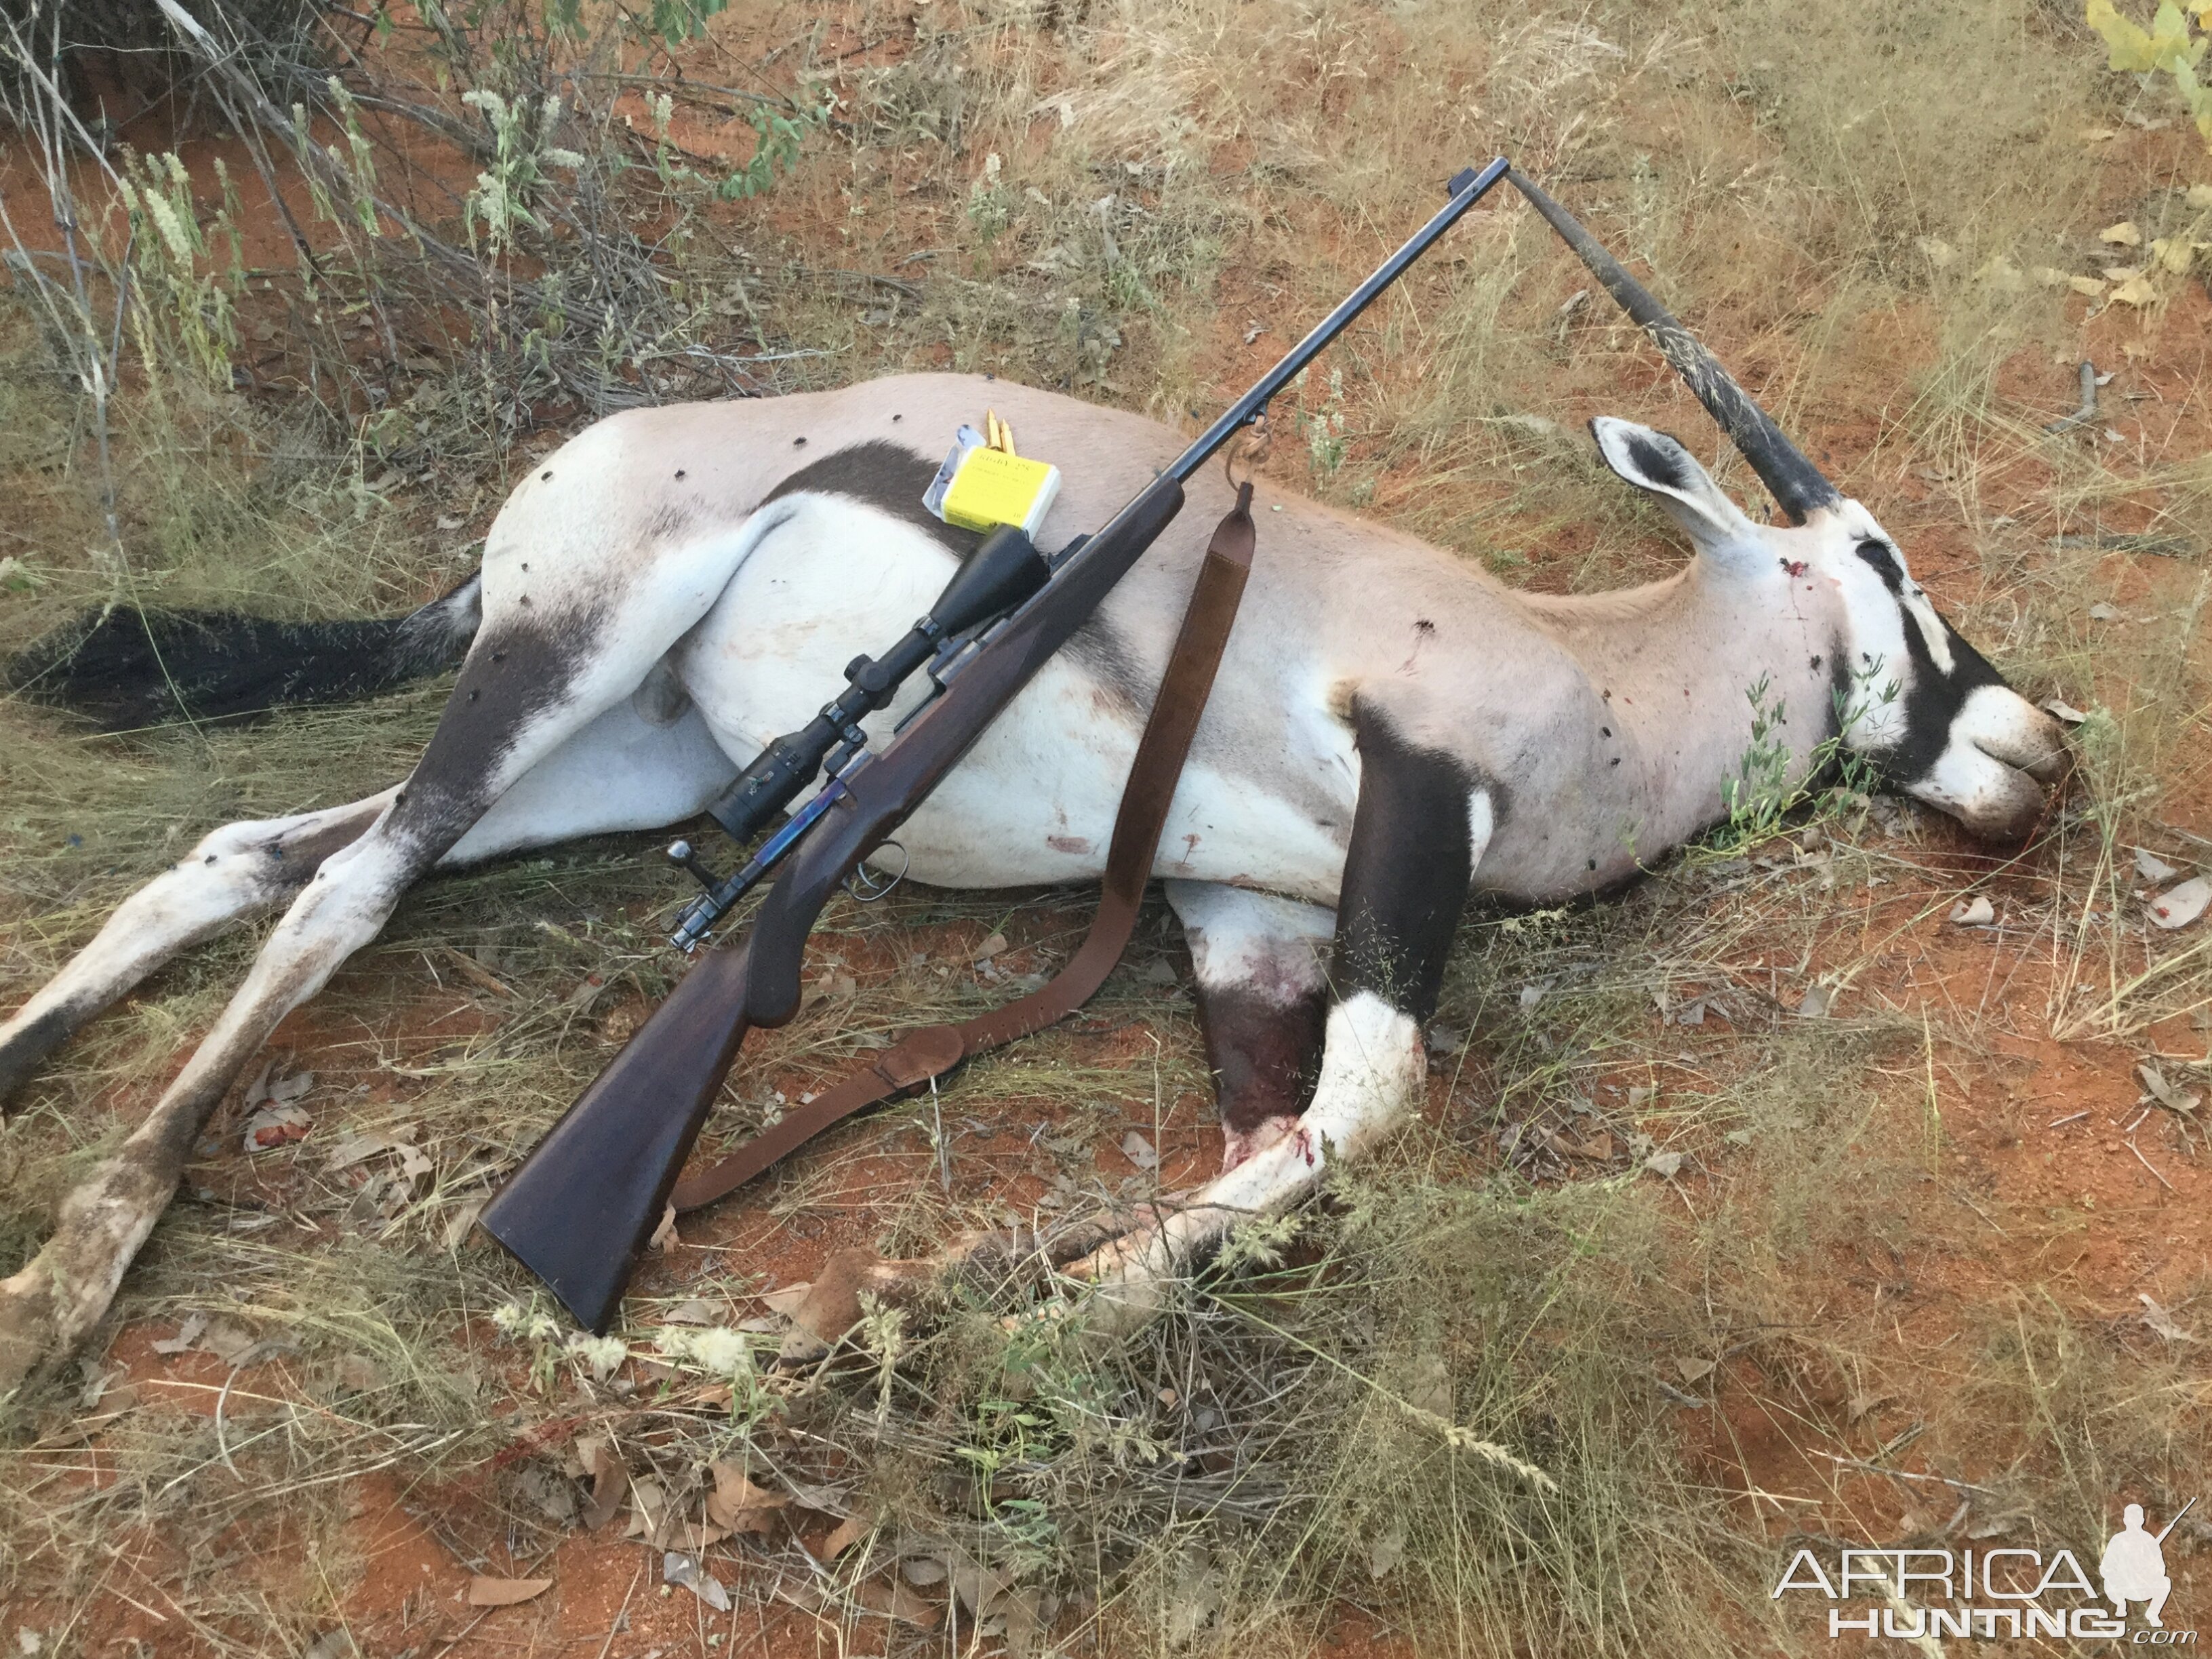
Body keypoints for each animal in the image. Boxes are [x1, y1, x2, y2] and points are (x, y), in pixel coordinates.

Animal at [0, 172, 2070, 1388]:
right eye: (1882, 567)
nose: (2034, 748)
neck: (1597, 663)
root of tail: (586, 462)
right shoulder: (1406, 809)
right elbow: (1367, 1111)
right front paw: (1014, 1307)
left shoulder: (1240, 914)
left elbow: (1270, 1140)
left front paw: (953, 1305)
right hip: (564, 656)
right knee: (355, 883)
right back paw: (71, 1273)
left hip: (633, 755)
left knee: (263, 849)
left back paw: (31, 1077)